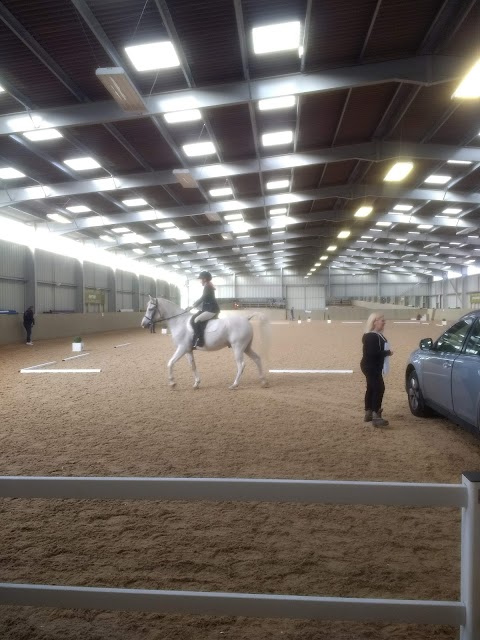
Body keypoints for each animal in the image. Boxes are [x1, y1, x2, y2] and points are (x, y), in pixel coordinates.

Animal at [142, 296, 270, 390]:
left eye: (150, 309)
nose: (143, 324)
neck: (179, 321)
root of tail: (246, 318)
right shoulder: (188, 350)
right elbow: (192, 366)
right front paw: (196, 383)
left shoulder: (182, 348)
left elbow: (170, 363)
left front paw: (172, 383)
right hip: (246, 347)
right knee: (257, 359)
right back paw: (263, 381)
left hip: (238, 347)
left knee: (241, 365)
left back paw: (234, 384)